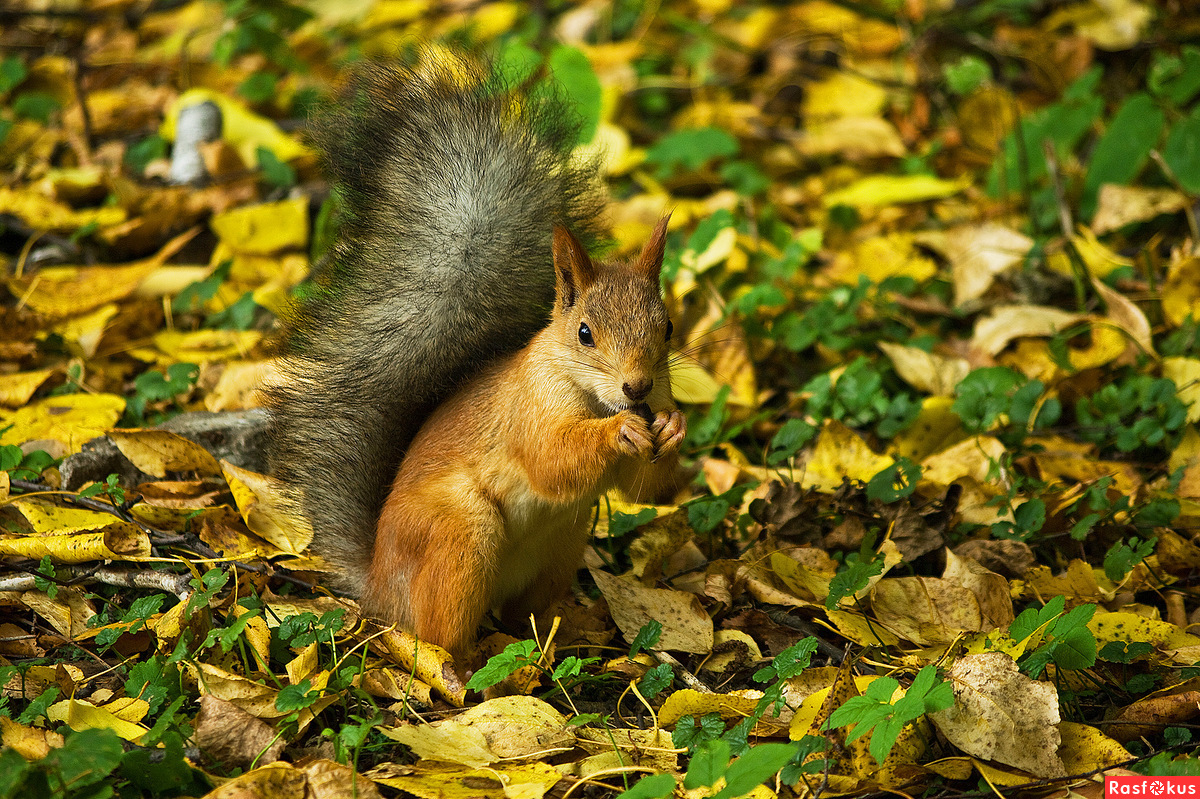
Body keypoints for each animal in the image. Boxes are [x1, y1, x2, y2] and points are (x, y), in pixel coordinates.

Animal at [267, 51, 691, 657]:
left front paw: (673, 427)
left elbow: (644, 490)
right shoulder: (526, 410)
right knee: (439, 634)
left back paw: (564, 631)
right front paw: (619, 433)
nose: (637, 388)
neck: (588, 394)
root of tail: (381, 587)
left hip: (562, 544)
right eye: (585, 333)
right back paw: (467, 663)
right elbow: (551, 457)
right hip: (462, 534)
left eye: (668, 326)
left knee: (525, 612)